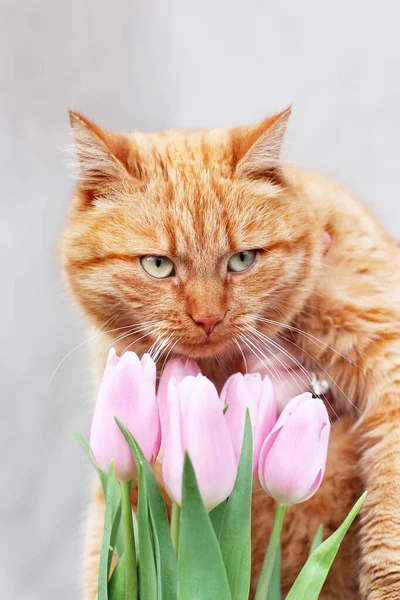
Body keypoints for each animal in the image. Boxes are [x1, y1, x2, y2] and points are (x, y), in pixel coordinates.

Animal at [61, 109, 400, 600]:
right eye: (157, 265)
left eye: (242, 260)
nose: (208, 317)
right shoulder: (125, 481)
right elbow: (113, 556)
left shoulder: (388, 372)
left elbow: (388, 537)